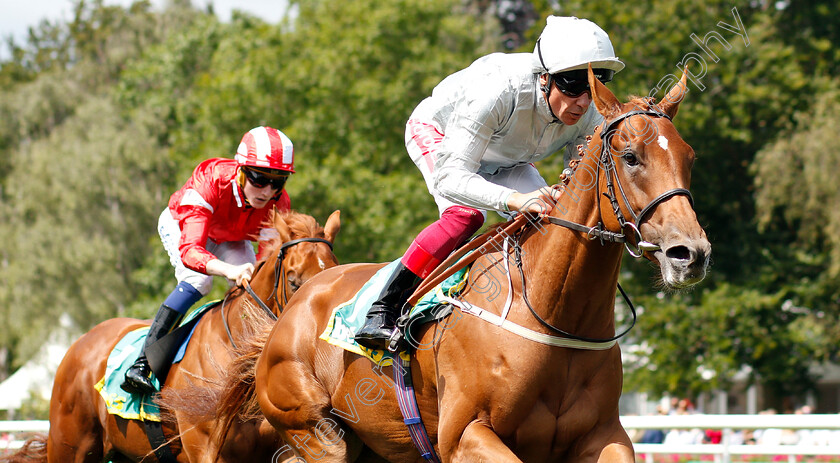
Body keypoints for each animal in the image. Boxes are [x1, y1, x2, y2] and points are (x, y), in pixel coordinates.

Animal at [215, 70, 708, 463]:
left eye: (689, 156)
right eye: (630, 156)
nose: (690, 253)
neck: (552, 314)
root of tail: (296, 304)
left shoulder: (604, 436)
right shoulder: (465, 434)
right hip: (319, 434)